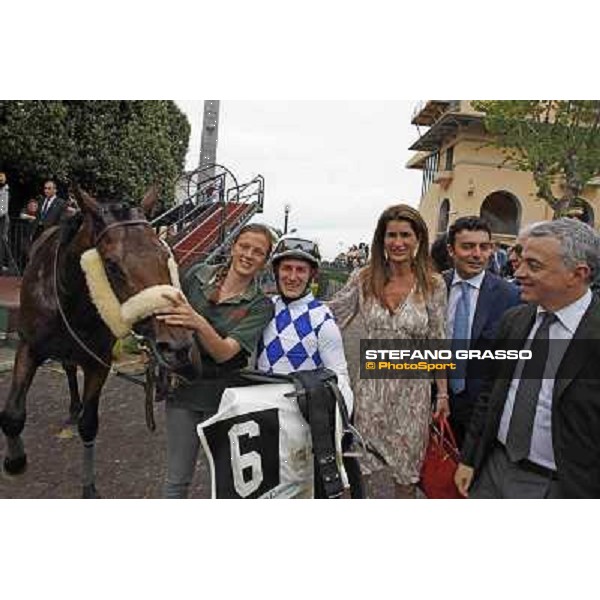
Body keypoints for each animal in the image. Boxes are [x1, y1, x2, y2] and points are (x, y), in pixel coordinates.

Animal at [0, 186, 200, 496]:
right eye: (112, 265)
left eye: (164, 255)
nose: (177, 346)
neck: (68, 298)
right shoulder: (29, 346)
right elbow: (12, 414)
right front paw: (15, 461)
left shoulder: (99, 360)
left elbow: (89, 424)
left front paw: (89, 486)